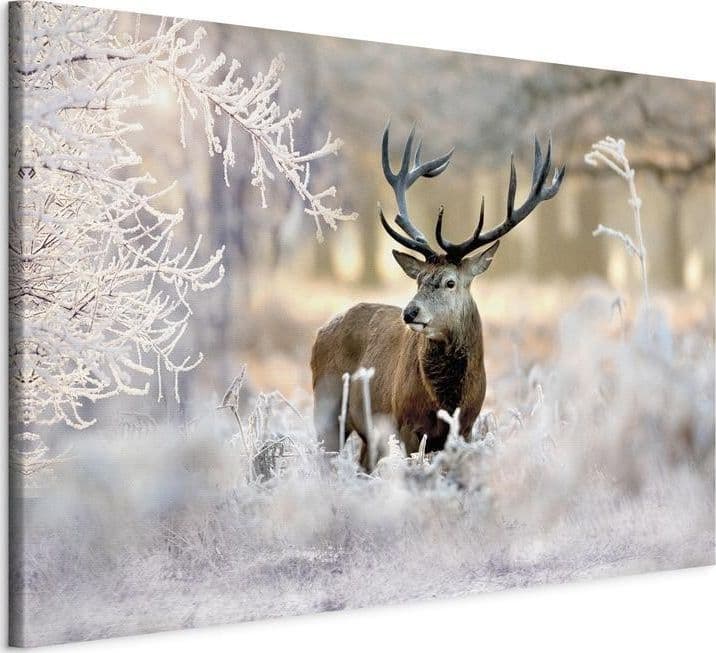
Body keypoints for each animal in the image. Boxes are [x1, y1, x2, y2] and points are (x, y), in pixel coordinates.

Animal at [311, 125, 565, 470]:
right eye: (419, 279)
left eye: (450, 282)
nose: (410, 312)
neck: (447, 400)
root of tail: (321, 331)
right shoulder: (405, 424)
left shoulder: (467, 427)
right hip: (326, 407)